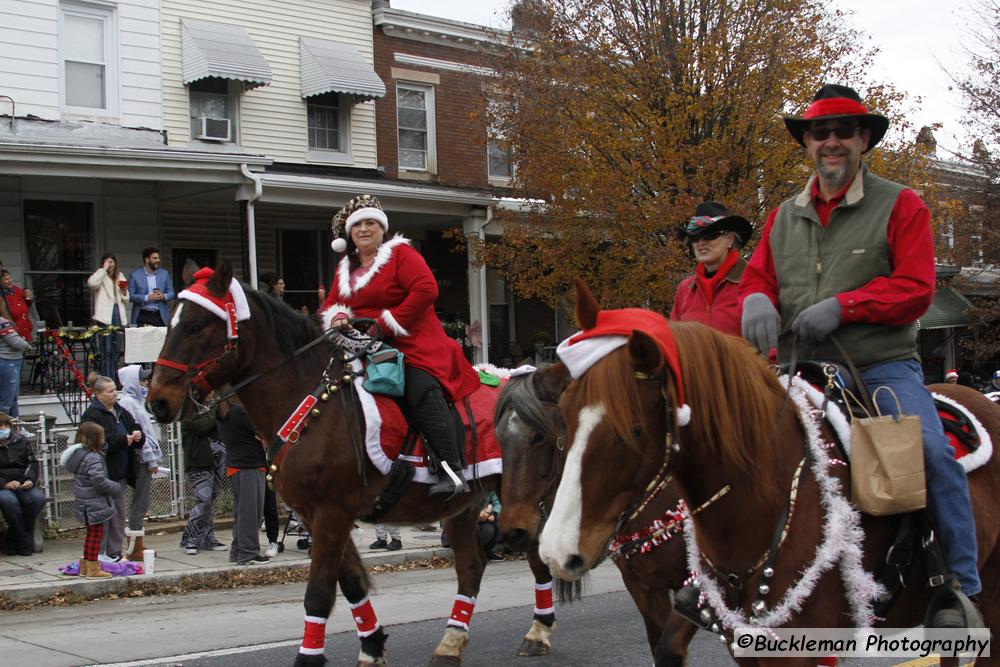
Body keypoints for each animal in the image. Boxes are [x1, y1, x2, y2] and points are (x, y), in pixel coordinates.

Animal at [146, 260, 508, 667]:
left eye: (194, 325)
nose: (157, 401)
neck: (312, 401)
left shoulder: (332, 513)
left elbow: (319, 593)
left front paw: (310, 658)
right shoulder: (314, 513)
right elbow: (351, 584)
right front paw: (372, 647)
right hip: (464, 507)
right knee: (472, 566)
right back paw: (450, 645)